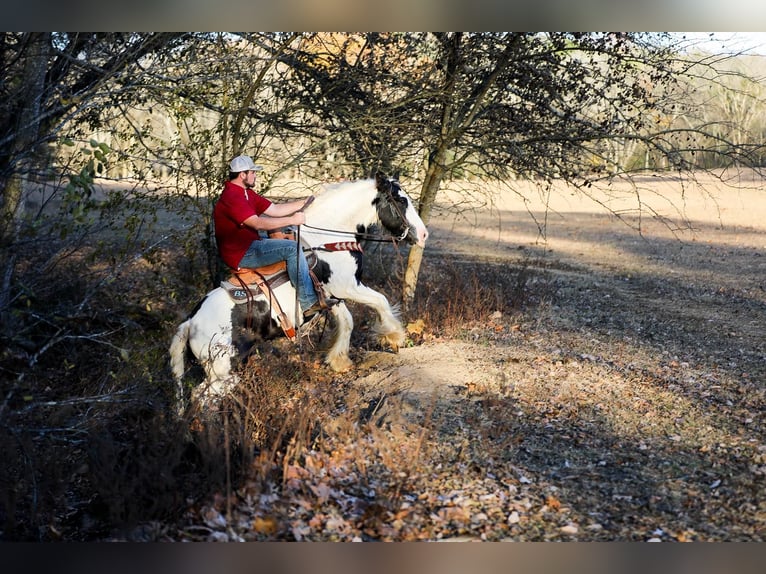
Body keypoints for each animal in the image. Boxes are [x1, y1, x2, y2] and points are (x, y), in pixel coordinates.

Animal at [169, 173, 428, 412]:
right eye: (401, 200)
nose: (424, 234)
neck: (328, 240)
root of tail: (191, 323)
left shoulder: (333, 297)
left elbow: (348, 322)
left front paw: (339, 360)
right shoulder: (349, 286)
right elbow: (381, 301)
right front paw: (394, 336)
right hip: (223, 372)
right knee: (202, 398)